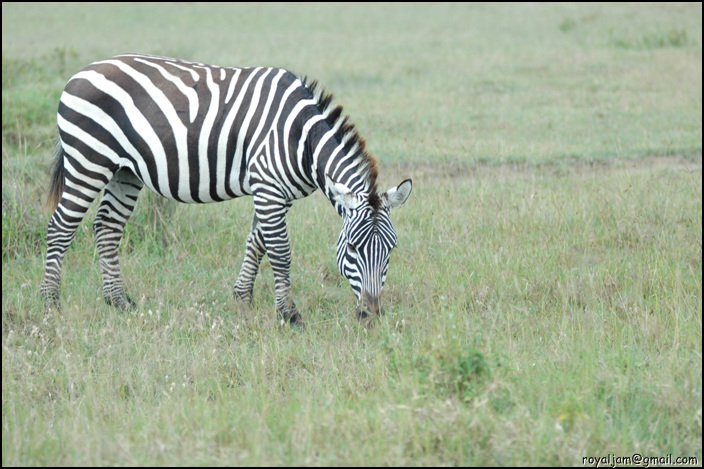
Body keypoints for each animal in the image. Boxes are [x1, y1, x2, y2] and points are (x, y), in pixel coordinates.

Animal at [40, 54, 412, 326]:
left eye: (391, 250)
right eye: (352, 248)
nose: (371, 314)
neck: (301, 138)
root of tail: (80, 73)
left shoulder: (276, 192)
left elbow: (257, 243)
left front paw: (242, 298)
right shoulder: (269, 188)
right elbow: (280, 251)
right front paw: (289, 315)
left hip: (124, 171)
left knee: (107, 228)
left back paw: (118, 301)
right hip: (89, 160)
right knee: (60, 227)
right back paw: (51, 304)